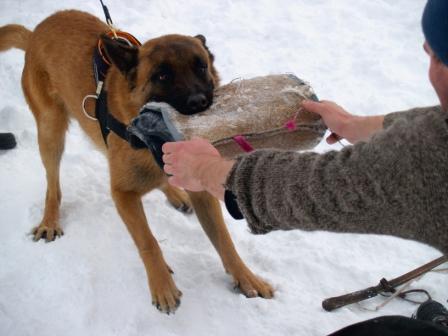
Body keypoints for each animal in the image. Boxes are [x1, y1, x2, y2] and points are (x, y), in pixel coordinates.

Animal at [0, 9, 272, 312]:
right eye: (162, 75)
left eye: (201, 67)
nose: (199, 102)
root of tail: (35, 33)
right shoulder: (123, 195)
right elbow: (148, 242)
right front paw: (162, 286)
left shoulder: (200, 191)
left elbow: (224, 240)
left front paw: (246, 278)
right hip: (51, 132)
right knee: (52, 184)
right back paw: (50, 220)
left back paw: (176, 194)